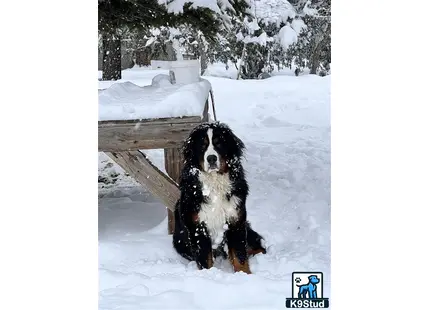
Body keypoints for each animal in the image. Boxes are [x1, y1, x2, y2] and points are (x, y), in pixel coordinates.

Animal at [172, 121, 266, 274]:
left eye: (219, 143)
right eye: (202, 145)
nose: (211, 158)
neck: (215, 184)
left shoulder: (236, 222)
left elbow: (240, 256)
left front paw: (245, 274)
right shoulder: (198, 227)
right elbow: (205, 259)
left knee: (259, 246)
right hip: (180, 241)